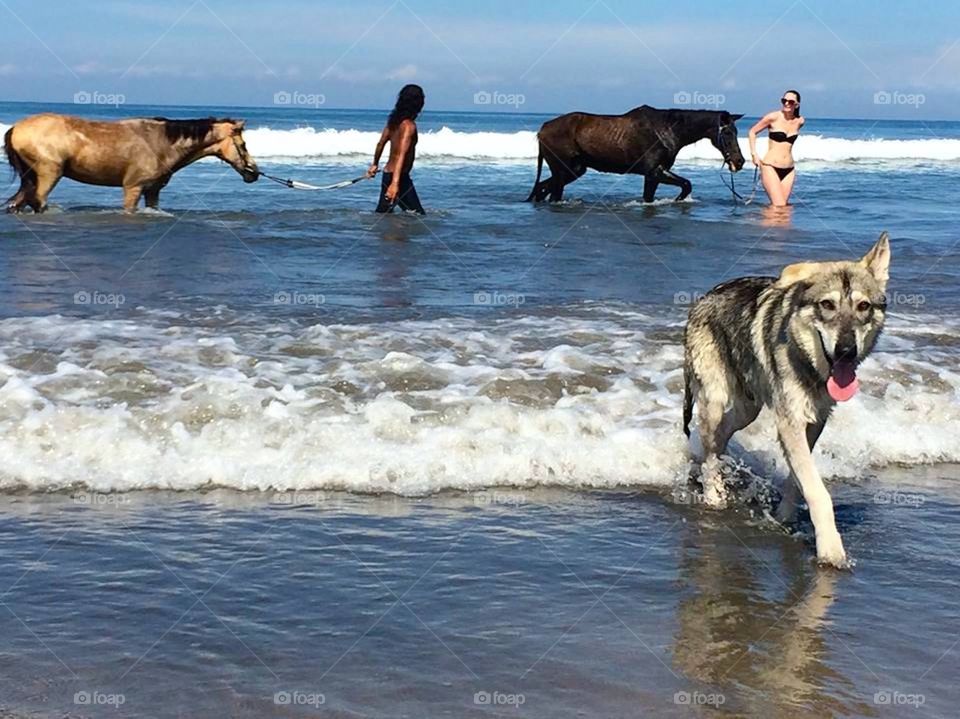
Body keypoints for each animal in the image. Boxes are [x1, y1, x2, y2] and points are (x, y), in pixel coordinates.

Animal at [4, 112, 258, 212]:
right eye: (244, 145)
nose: (253, 172)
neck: (161, 142)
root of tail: (16, 128)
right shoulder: (133, 188)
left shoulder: (152, 191)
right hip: (49, 175)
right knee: (37, 202)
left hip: (29, 179)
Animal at [528, 107, 748, 204]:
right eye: (727, 133)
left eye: (736, 132)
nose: (739, 161)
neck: (668, 129)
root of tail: (543, 129)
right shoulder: (654, 172)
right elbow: (686, 185)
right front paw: (677, 201)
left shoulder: (653, 176)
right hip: (562, 171)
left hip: (574, 170)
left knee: (541, 188)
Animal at [684, 233, 892, 564]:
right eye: (827, 305)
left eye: (863, 306)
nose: (847, 351)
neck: (809, 362)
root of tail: (704, 297)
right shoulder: (789, 423)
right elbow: (818, 492)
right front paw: (831, 550)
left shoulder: (814, 422)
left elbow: (798, 480)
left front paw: (784, 516)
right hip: (716, 402)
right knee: (710, 450)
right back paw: (713, 495)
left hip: (747, 409)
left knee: (719, 440)